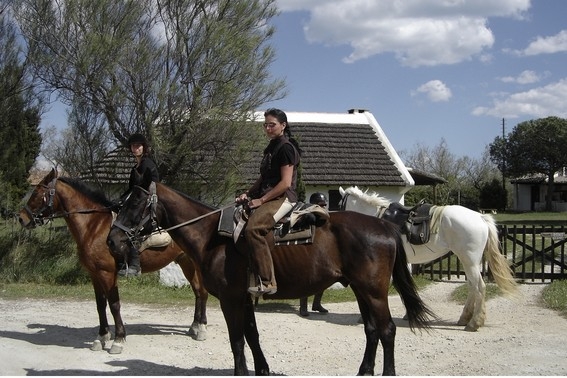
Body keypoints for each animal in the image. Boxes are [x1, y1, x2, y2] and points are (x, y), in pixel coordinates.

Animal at [17, 168, 210, 354]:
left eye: (37, 193)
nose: (21, 218)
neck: (94, 227)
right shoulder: (94, 274)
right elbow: (100, 304)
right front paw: (101, 337)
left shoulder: (107, 273)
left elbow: (114, 304)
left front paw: (118, 340)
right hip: (186, 263)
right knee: (197, 292)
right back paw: (195, 326)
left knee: (202, 292)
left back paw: (201, 328)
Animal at [106, 174, 434, 376]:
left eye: (135, 203)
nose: (112, 240)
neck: (213, 236)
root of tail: (386, 227)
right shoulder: (245, 298)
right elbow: (252, 335)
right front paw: (261, 369)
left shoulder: (230, 299)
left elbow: (237, 340)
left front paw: (240, 372)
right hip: (360, 289)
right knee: (372, 329)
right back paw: (363, 371)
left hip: (375, 291)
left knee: (387, 330)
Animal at [338, 186, 520, 330]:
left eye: (339, 204)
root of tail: (480, 217)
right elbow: (405, 285)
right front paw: (409, 313)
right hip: (467, 261)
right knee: (472, 287)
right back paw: (464, 318)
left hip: (470, 261)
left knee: (479, 287)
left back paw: (474, 323)